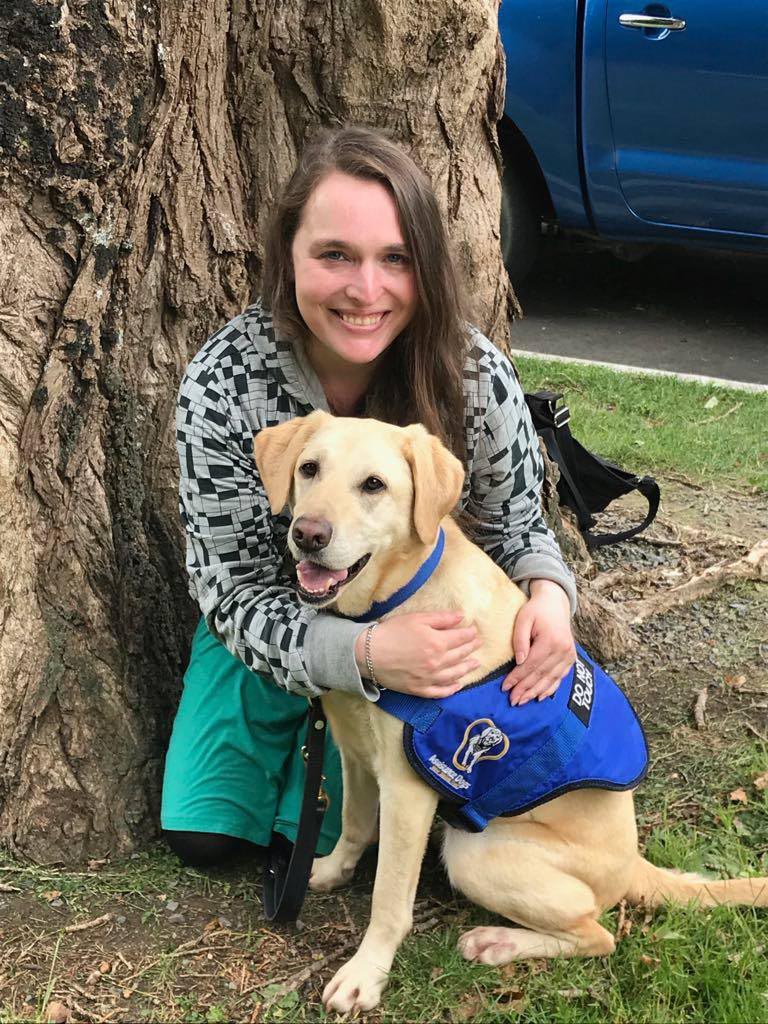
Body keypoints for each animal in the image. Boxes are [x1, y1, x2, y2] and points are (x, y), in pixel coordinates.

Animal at [253, 411, 768, 1011]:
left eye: (374, 485)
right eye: (310, 469)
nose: (308, 534)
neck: (389, 604)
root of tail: (634, 864)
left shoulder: (407, 788)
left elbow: (389, 897)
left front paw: (366, 972)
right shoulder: (355, 751)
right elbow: (355, 824)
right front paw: (330, 870)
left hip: (473, 853)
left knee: (599, 934)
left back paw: (497, 942)